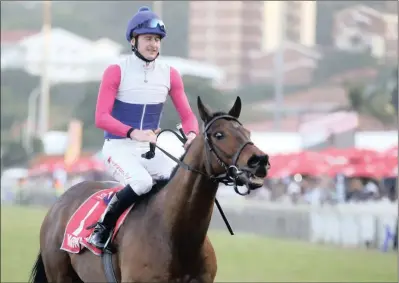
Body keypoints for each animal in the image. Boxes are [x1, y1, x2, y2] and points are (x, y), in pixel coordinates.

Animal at [29, 96, 270, 282]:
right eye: (219, 135)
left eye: (247, 132)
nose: (260, 161)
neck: (177, 235)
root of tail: (60, 202)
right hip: (59, 275)